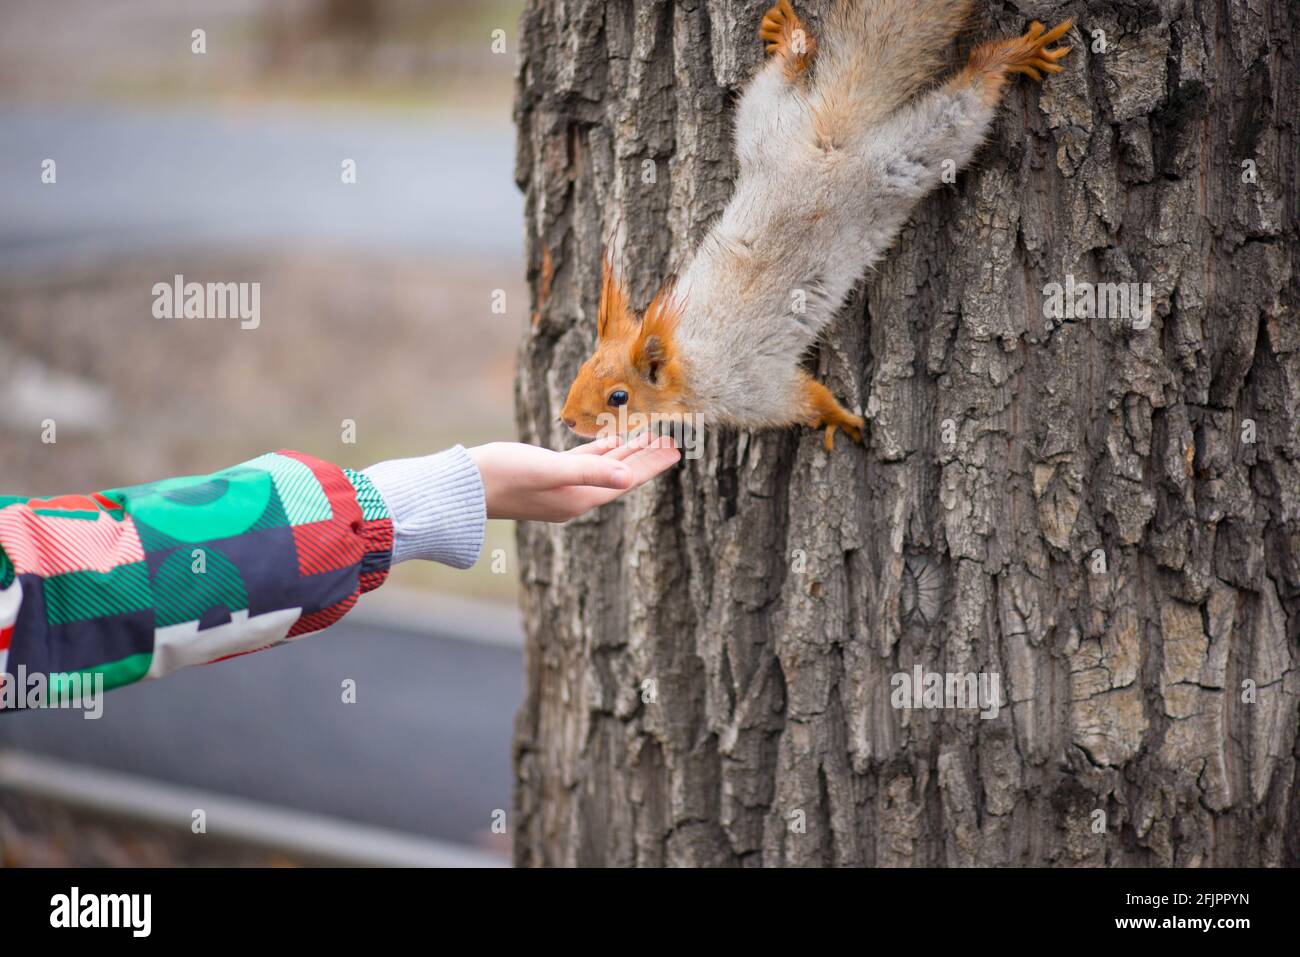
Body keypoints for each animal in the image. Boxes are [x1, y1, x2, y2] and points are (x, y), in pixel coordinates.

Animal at [560, 0, 1072, 450]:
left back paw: (1004, 58)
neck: (687, 359)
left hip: (903, 164)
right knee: (776, 85)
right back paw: (792, 41)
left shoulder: (752, 390)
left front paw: (840, 419)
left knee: (962, 108)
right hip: (764, 130)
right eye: (582, 369)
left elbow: (808, 397)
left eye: (619, 397)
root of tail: (827, 143)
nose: (566, 420)